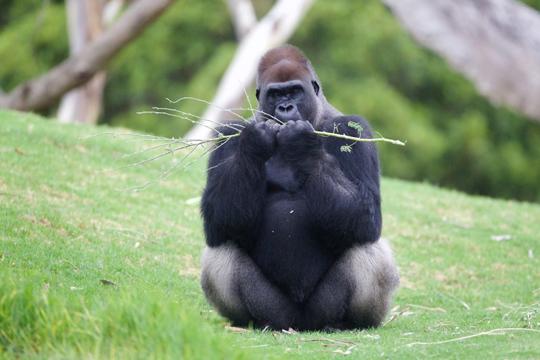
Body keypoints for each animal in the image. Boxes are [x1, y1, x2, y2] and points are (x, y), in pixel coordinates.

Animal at [200, 44, 398, 330]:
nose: (285, 107)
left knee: (366, 246)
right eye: (275, 94)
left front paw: (302, 144)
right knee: (223, 248)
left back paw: (349, 323)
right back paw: (251, 322)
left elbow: (366, 215)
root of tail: (300, 325)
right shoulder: (228, 131)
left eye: (295, 91)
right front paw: (255, 141)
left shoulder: (352, 129)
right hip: (278, 312)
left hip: (320, 312)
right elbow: (218, 220)